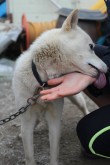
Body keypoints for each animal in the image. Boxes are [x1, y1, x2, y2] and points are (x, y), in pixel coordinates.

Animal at [12, 10, 106, 165]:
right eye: (91, 46)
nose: (107, 67)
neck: (42, 81)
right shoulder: (27, 119)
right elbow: (29, 155)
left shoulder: (54, 120)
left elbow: (54, 153)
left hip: (76, 98)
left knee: (83, 108)